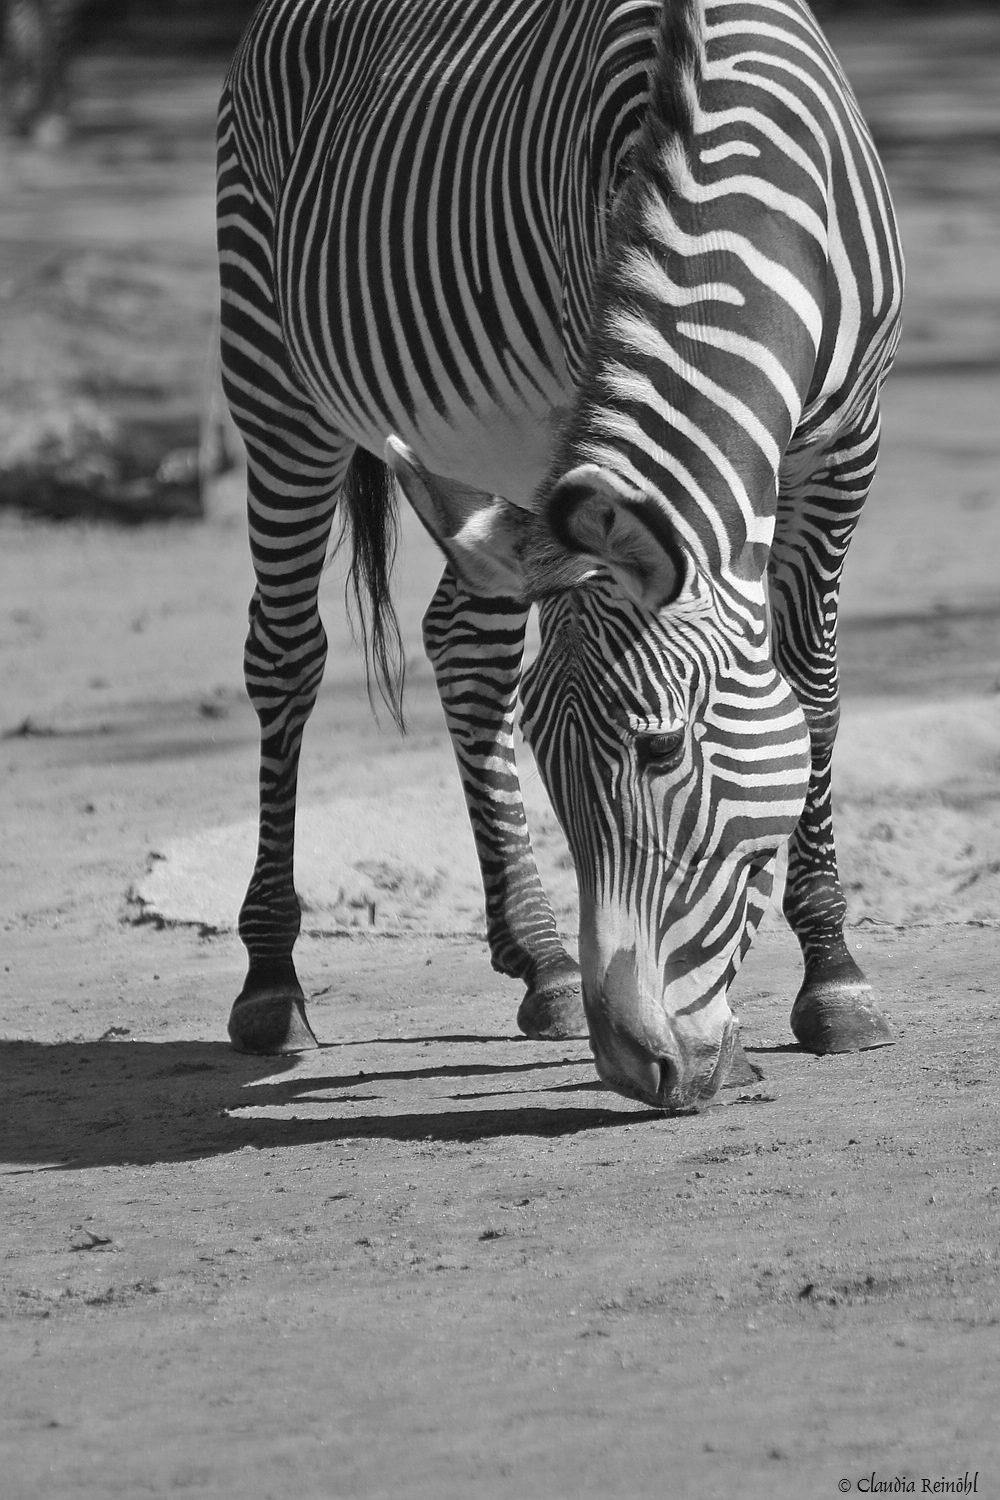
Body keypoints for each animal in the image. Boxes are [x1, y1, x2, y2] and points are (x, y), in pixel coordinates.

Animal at [217, 0, 903, 1111]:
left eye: (661, 749)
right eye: (548, 761)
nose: (632, 1065)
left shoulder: (847, 445)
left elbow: (813, 690)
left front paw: (834, 976)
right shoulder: (570, 406)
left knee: (464, 643)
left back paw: (539, 961)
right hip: (272, 375)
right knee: (285, 655)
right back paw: (272, 984)